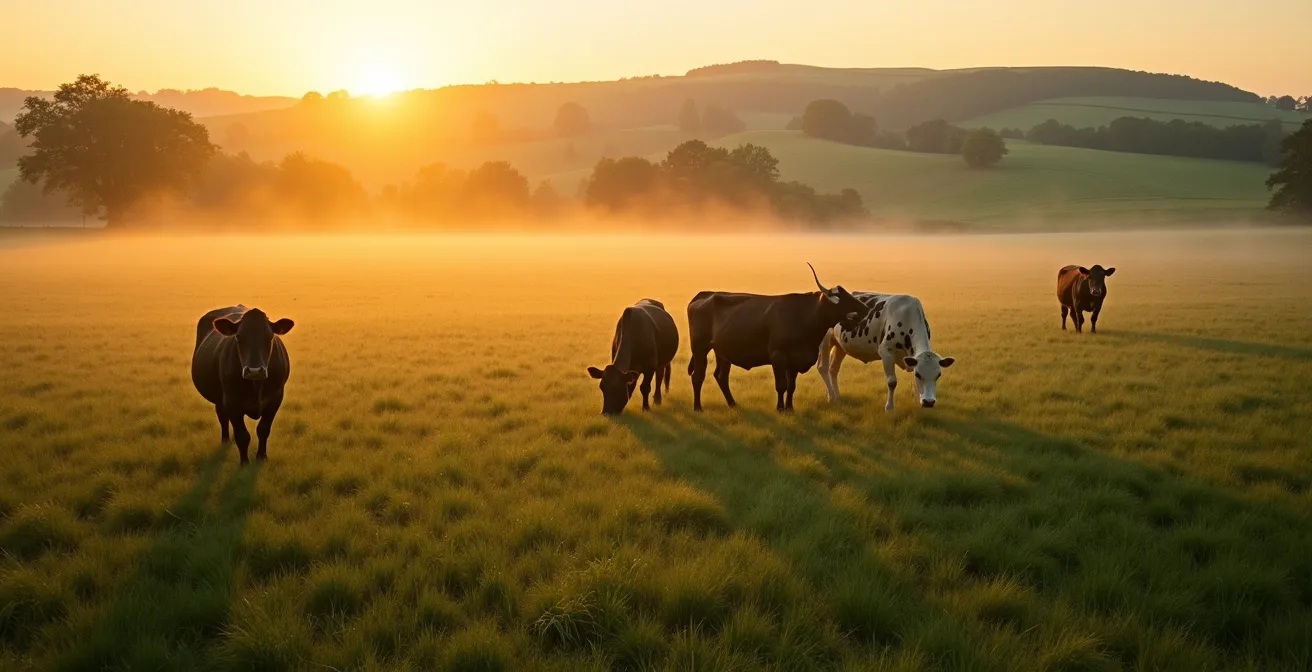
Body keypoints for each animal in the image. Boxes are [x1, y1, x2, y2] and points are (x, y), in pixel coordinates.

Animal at [191, 306, 294, 465]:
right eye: (238, 337)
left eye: (270, 338)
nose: (254, 371)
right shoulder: (232, 401)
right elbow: (242, 435)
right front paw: (244, 462)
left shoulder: (275, 398)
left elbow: (263, 429)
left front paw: (261, 456)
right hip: (220, 398)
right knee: (222, 416)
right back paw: (226, 440)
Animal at [687, 264, 868, 413]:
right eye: (844, 298)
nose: (866, 308)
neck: (804, 316)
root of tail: (706, 294)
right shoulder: (778, 356)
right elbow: (781, 385)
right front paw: (780, 408)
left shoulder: (795, 359)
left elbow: (792, 386)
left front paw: (790, 408)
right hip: (700, 348)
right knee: (697, 376)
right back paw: (698, 407)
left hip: (723, 352)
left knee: (721, 376)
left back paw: (732, 404)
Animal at [818, 293, 954, 410]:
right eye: (919, 374)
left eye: (938, 375)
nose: (929, 402)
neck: (907, 316)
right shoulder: (886, 352)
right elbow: (892, 382)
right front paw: (889, 407)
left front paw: (917, 400)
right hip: (825, 341)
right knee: (823, 367)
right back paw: (832, 396)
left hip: (840, 345)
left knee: (833, 369)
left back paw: (837, 396)